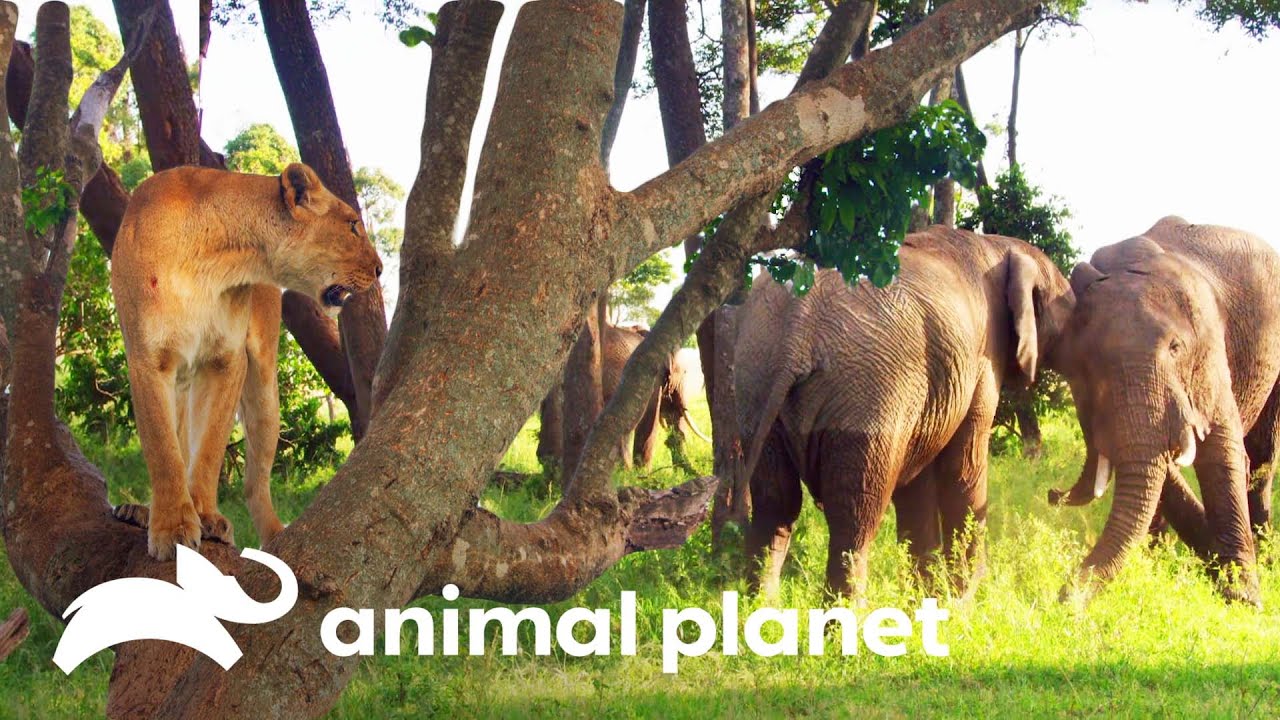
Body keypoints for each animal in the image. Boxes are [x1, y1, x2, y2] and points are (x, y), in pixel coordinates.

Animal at [734, 226, 1074, 599]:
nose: (1055, 494)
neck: (1000, 246)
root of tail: (799, 325)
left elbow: (917, 482)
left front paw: (924, 599)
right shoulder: (984, 358)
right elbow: (963, 467)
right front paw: (964, 599)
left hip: (757, 377)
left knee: (775, 506)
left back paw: (756, 610)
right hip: (871, 391)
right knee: (855, 519)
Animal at [1045, 216, 1278, 605]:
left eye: (1175, 348)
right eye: (1082, 367)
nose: (1064, 597)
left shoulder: (1209, 347)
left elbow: (1221, 452)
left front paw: (1243, 597)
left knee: (1263, 457)